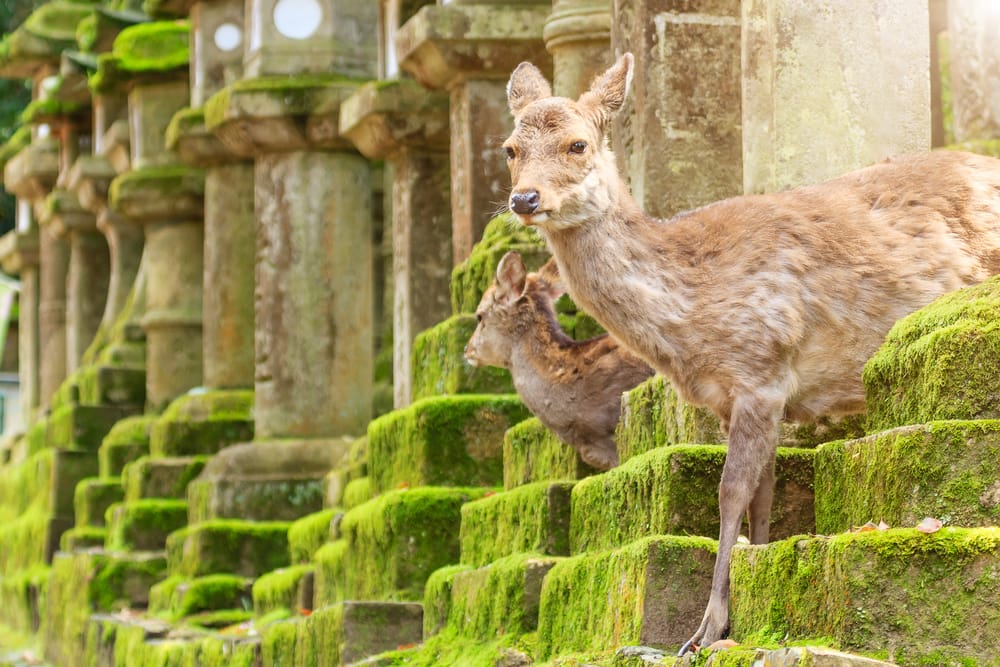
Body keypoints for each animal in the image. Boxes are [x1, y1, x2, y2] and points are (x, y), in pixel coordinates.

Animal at [504, 53, 1000, 656]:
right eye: (510, 148)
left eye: (577, 144)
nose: (524, 200)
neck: (689, 315)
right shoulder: (738, 397)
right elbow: (764, 493)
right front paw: (753, 583)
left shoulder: (761, 369)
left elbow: (730, 491)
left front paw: (705, 629)